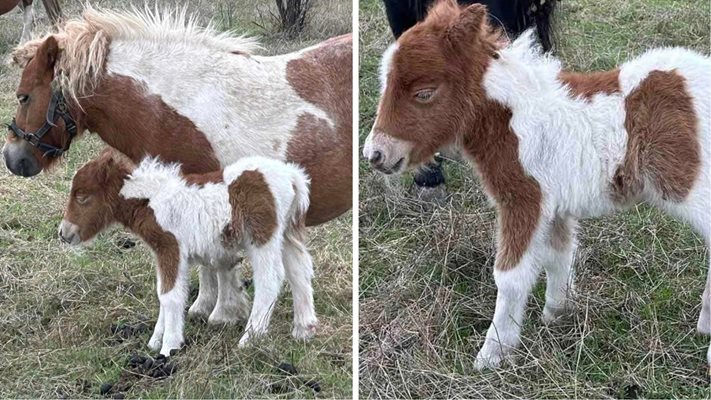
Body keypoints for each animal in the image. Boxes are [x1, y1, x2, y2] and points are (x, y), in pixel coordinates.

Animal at [3, 4, 350, 326]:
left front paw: (222, 312)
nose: (12, 158)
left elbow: (218, 260)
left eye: (23, 97)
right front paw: (205, 307)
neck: (178, 112)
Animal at [59, 150, 316, 356]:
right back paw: (304, 330)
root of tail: (293, 178)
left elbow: (170, 296)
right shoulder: (163, 253)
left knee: (270, 280)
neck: (151, 200)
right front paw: (155, 340)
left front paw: (168, 347)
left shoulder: (171, 247)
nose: (64, 233)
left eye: (82, 197)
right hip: (287, 233)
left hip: (263, 237)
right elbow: (163, 292)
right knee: (299, 272)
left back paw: (250, 339)